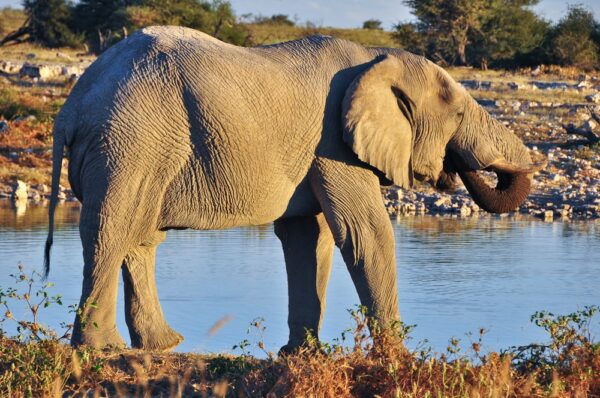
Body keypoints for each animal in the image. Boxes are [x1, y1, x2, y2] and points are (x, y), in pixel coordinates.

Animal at [45, 25, 544, 352]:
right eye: (457, 115)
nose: (454, 169)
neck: (377, 56)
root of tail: (70, 107)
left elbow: (308, 236)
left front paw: (303, 355)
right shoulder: (333, 142)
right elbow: (365, 232)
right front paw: (399, 359)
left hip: (140, 145)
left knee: (141, 235)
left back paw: (159, 345)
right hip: (130, 140)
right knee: (112, 229)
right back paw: (102, 350)